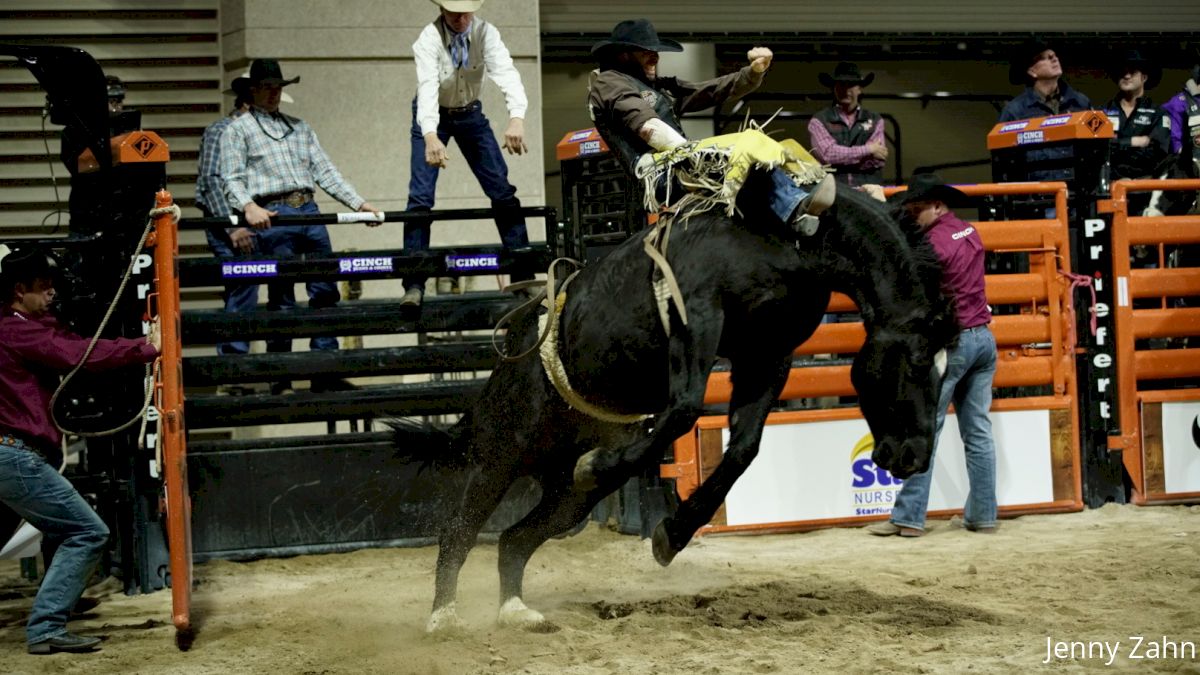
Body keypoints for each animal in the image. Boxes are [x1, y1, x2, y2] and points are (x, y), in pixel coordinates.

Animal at [393, 181, 955, 629]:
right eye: (919, 360)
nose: (915, 455)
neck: (793, 236)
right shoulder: (696, 315)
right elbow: (684, 410)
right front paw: (601, 467)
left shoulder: (766, 355)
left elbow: (743, 447)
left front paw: (674, 532)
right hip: (501, 455)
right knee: (458, 533)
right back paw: (443, 617)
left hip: (565, 495)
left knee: (514, 540)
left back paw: (516, 611)